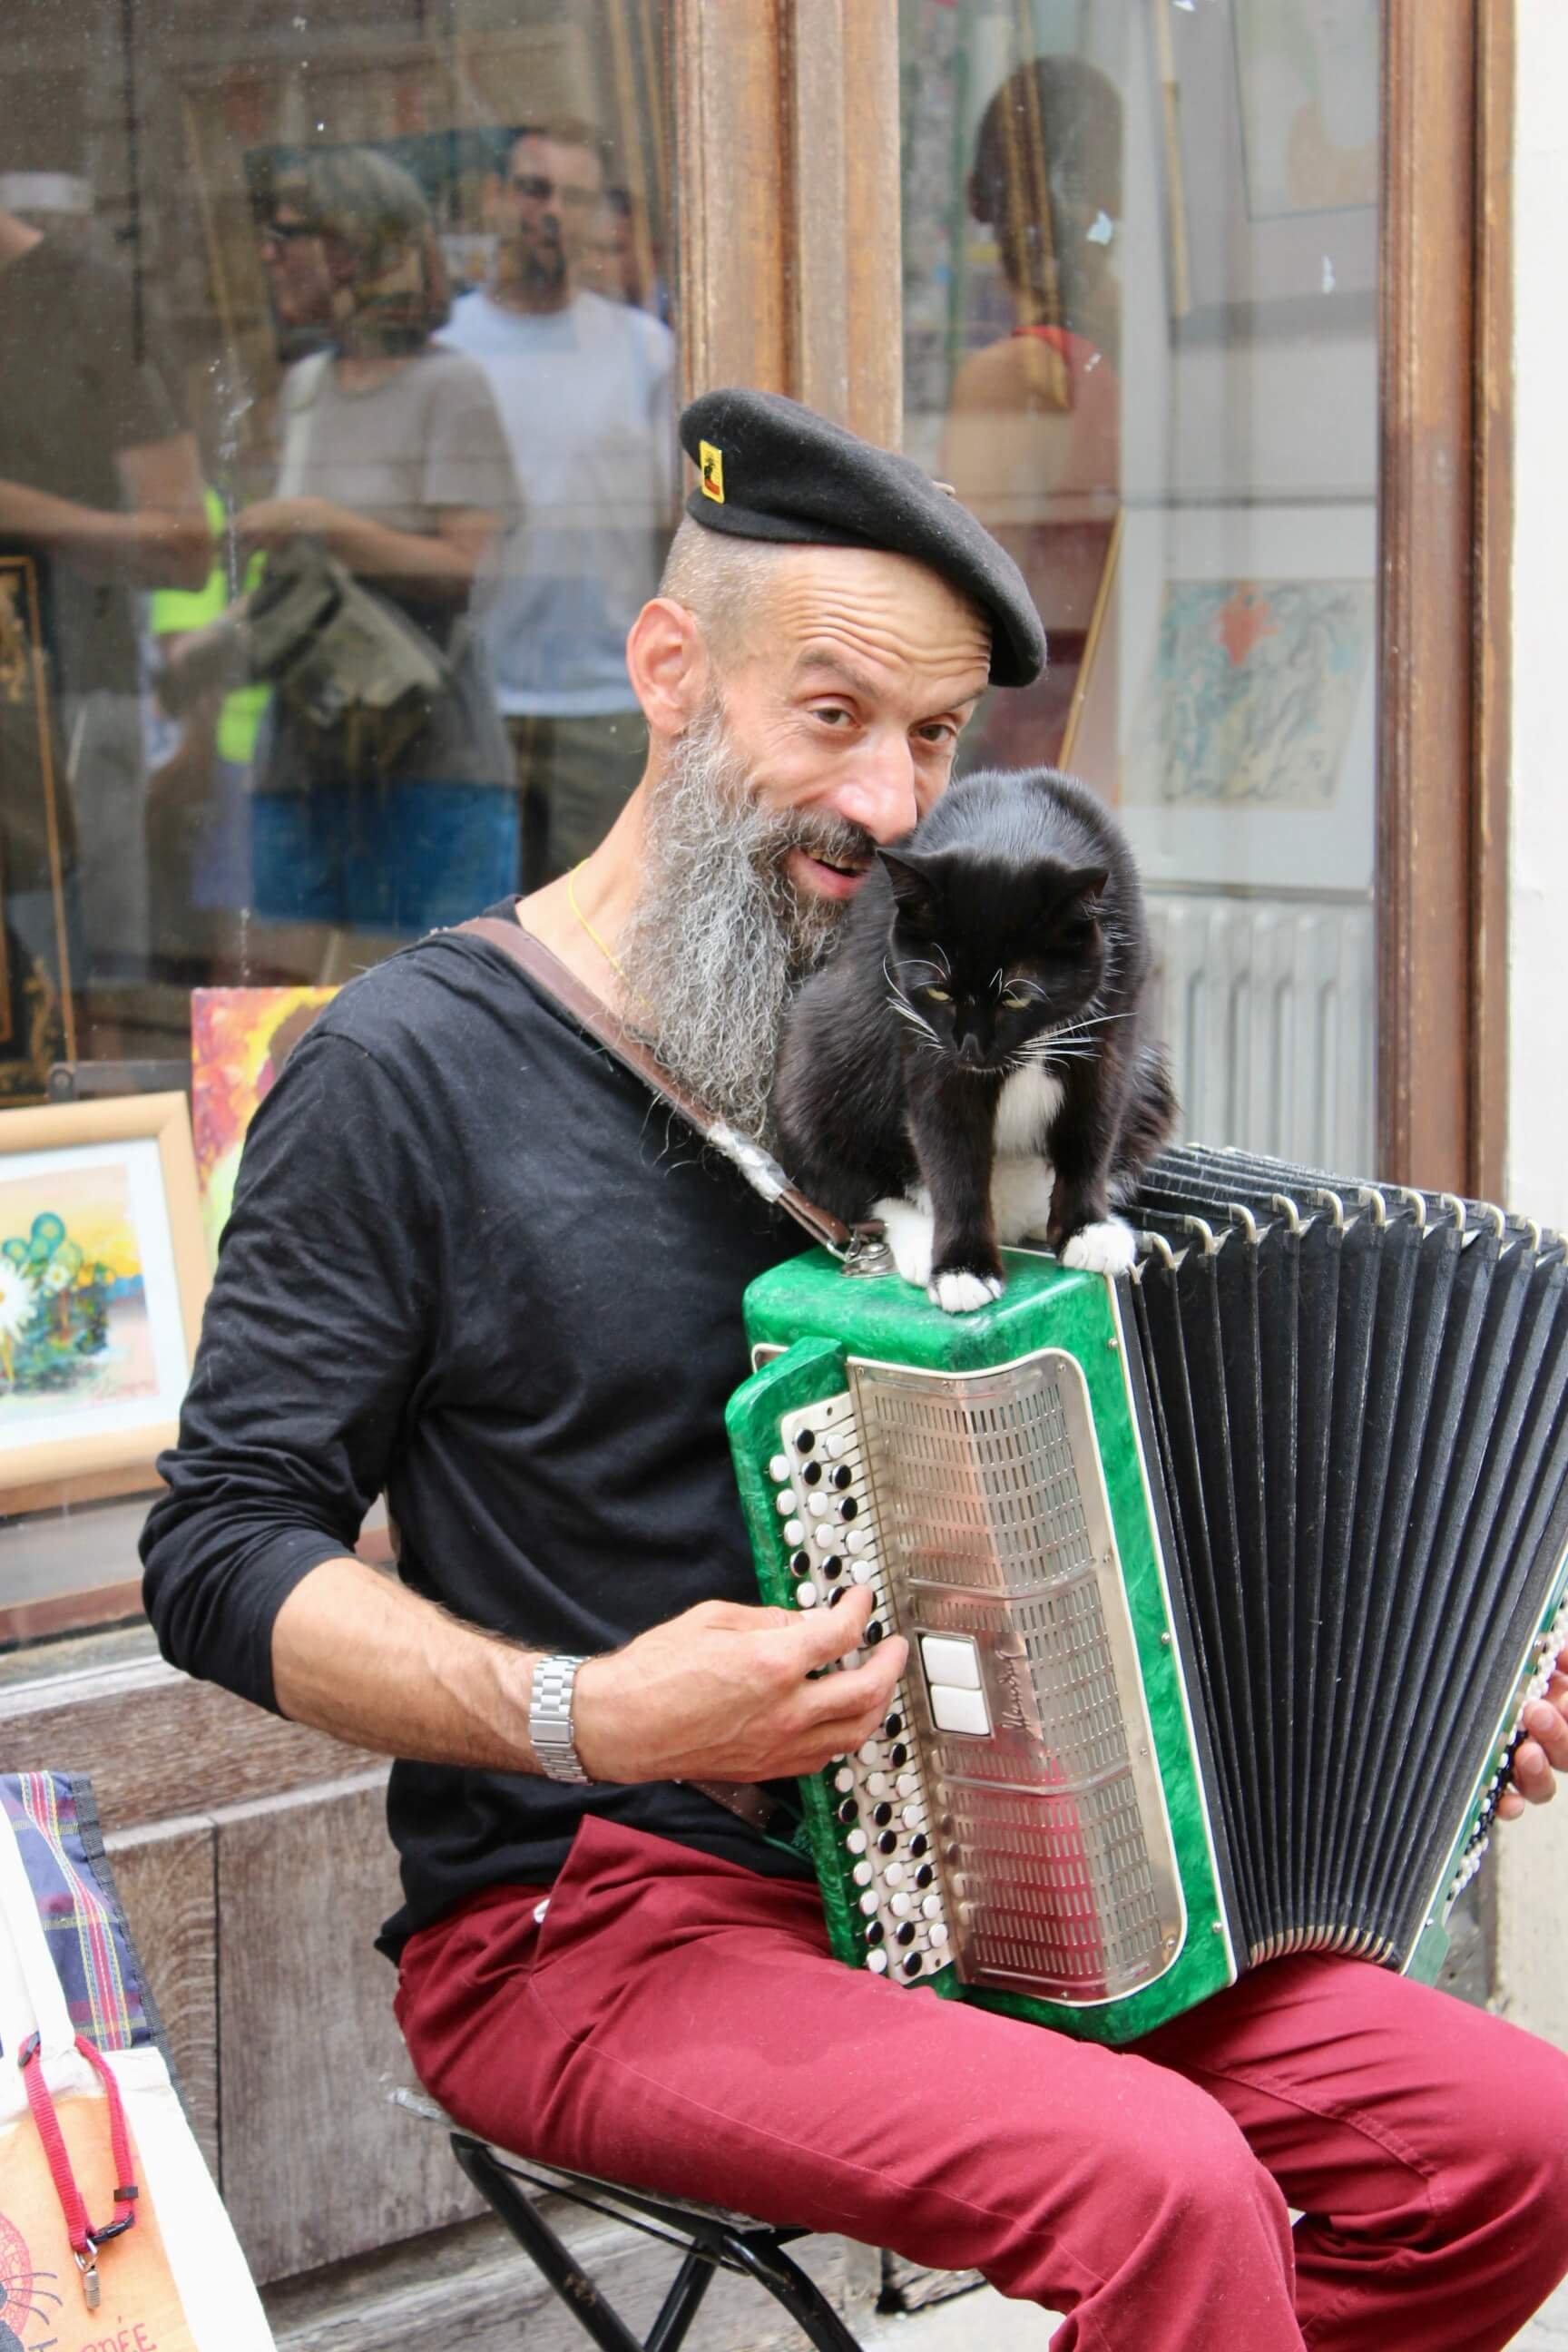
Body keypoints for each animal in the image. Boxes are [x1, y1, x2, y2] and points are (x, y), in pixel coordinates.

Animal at [770, 776, 1175, 1317]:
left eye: (1016, 995)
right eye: (940, 991)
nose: (971, 1047)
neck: (1011, 828)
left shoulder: (1114, 1026)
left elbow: (1092, 1126)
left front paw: (1085, 1228)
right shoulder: (922, 1033)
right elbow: (950, 1148)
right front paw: (963, 1268)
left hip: (1150, 1077)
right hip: (820, 1046)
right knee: (850, 1178)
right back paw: (921, 1238)